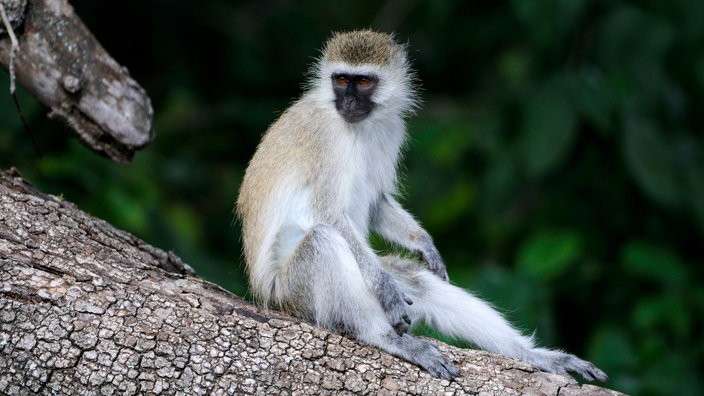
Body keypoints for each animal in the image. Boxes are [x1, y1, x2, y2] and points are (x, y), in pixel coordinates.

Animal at [235, 29, 604, 382]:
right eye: (341, 80)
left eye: (363, 82)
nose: (348, 100)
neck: (358, 126)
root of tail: (266, 294)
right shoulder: (324, 137)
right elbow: (329, 213)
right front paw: (386, 289)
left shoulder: (391, 129)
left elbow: (376, 202)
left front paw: (425, 244)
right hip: (292, 293)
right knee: (322, 242)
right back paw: (384, 336)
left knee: (419, 282)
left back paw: (532, 355)